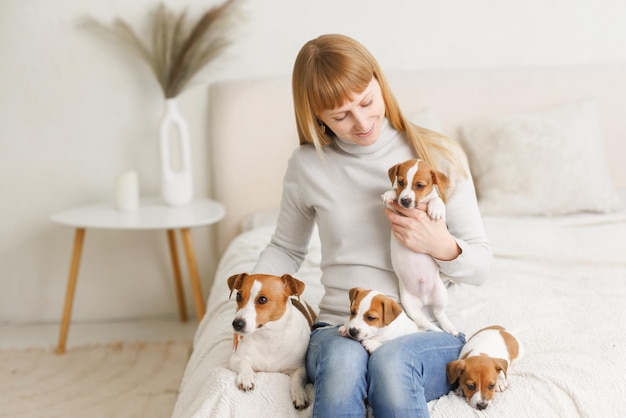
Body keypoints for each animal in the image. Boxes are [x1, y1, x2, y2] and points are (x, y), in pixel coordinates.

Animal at [227, 272, 316, 410]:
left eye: (262, 299)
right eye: (238, 296)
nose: (236, 324)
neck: (268, 335)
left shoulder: (300, 368)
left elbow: (297, 381)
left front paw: (299, 394)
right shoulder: (235, 358)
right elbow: (244, 364)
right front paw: (246, 377)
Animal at [378, 158, 456, 334]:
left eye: (420, 185)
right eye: (401, 182)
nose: (405, 201)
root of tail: (425, 299)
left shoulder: (443, 223)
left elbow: (437, 199)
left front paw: (435, 207)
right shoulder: (395, 212)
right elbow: (393, 197)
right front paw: (390, 193)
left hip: (440, 295)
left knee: (439, 314)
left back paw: (448, 327)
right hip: (410, 305)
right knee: (423, 320)